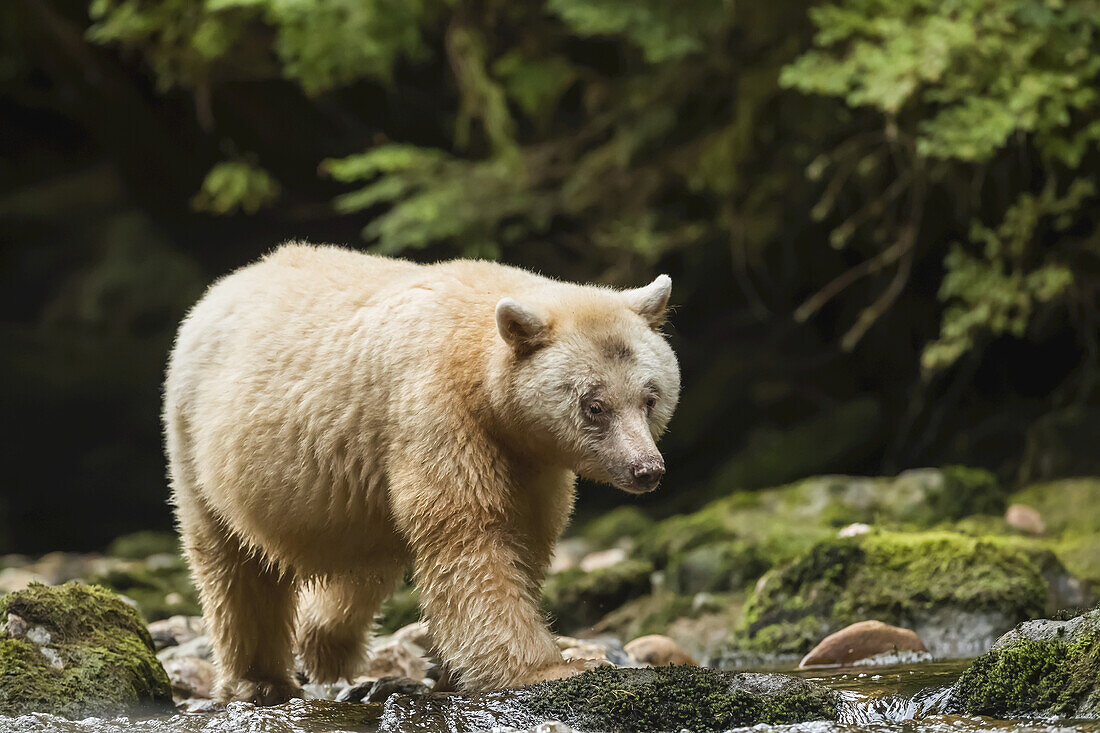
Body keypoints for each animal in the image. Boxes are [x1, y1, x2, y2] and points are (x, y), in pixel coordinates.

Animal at [162, 242, 677, 699]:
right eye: (595, 405)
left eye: (650, 397)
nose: (646, 469)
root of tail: (220, 288)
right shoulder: (438, 414)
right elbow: (473, 539)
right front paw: (551, 667)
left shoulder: (531, 460)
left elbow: (524, 538)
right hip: (197, 439)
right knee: (232, 564)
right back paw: (260, 679)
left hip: (355, 494)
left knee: (365, 564)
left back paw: (325, 644)